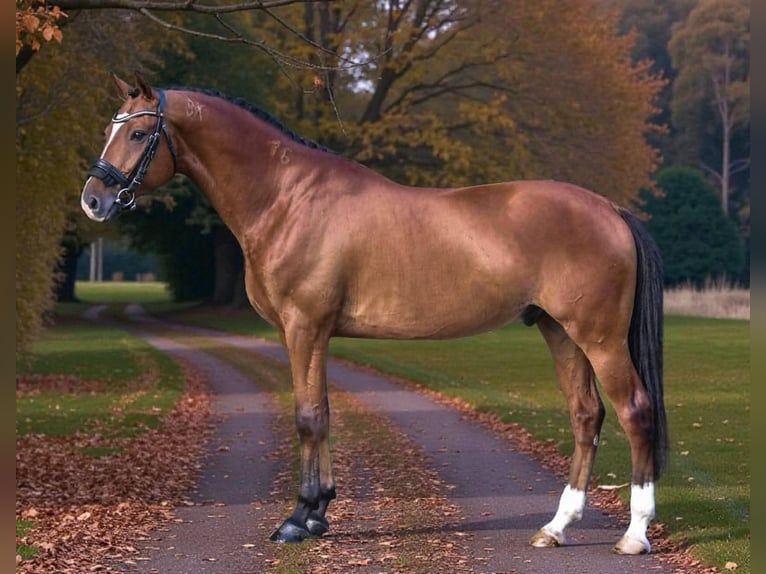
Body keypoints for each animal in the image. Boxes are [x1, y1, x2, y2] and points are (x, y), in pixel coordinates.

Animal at [81, 72, 668, 555]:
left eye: (139, 135)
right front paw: (317, 513)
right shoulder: (312, 332)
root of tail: (609, 208)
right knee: (586, 416)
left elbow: (308, 416)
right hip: (560, 331)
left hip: (599, 338)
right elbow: (321, 412)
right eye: (109, 128)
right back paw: (556, 527)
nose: (93, 199)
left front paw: (297, 520)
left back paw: (634, 535)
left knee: (635, 411)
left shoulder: (304, 326)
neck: (288, 198)